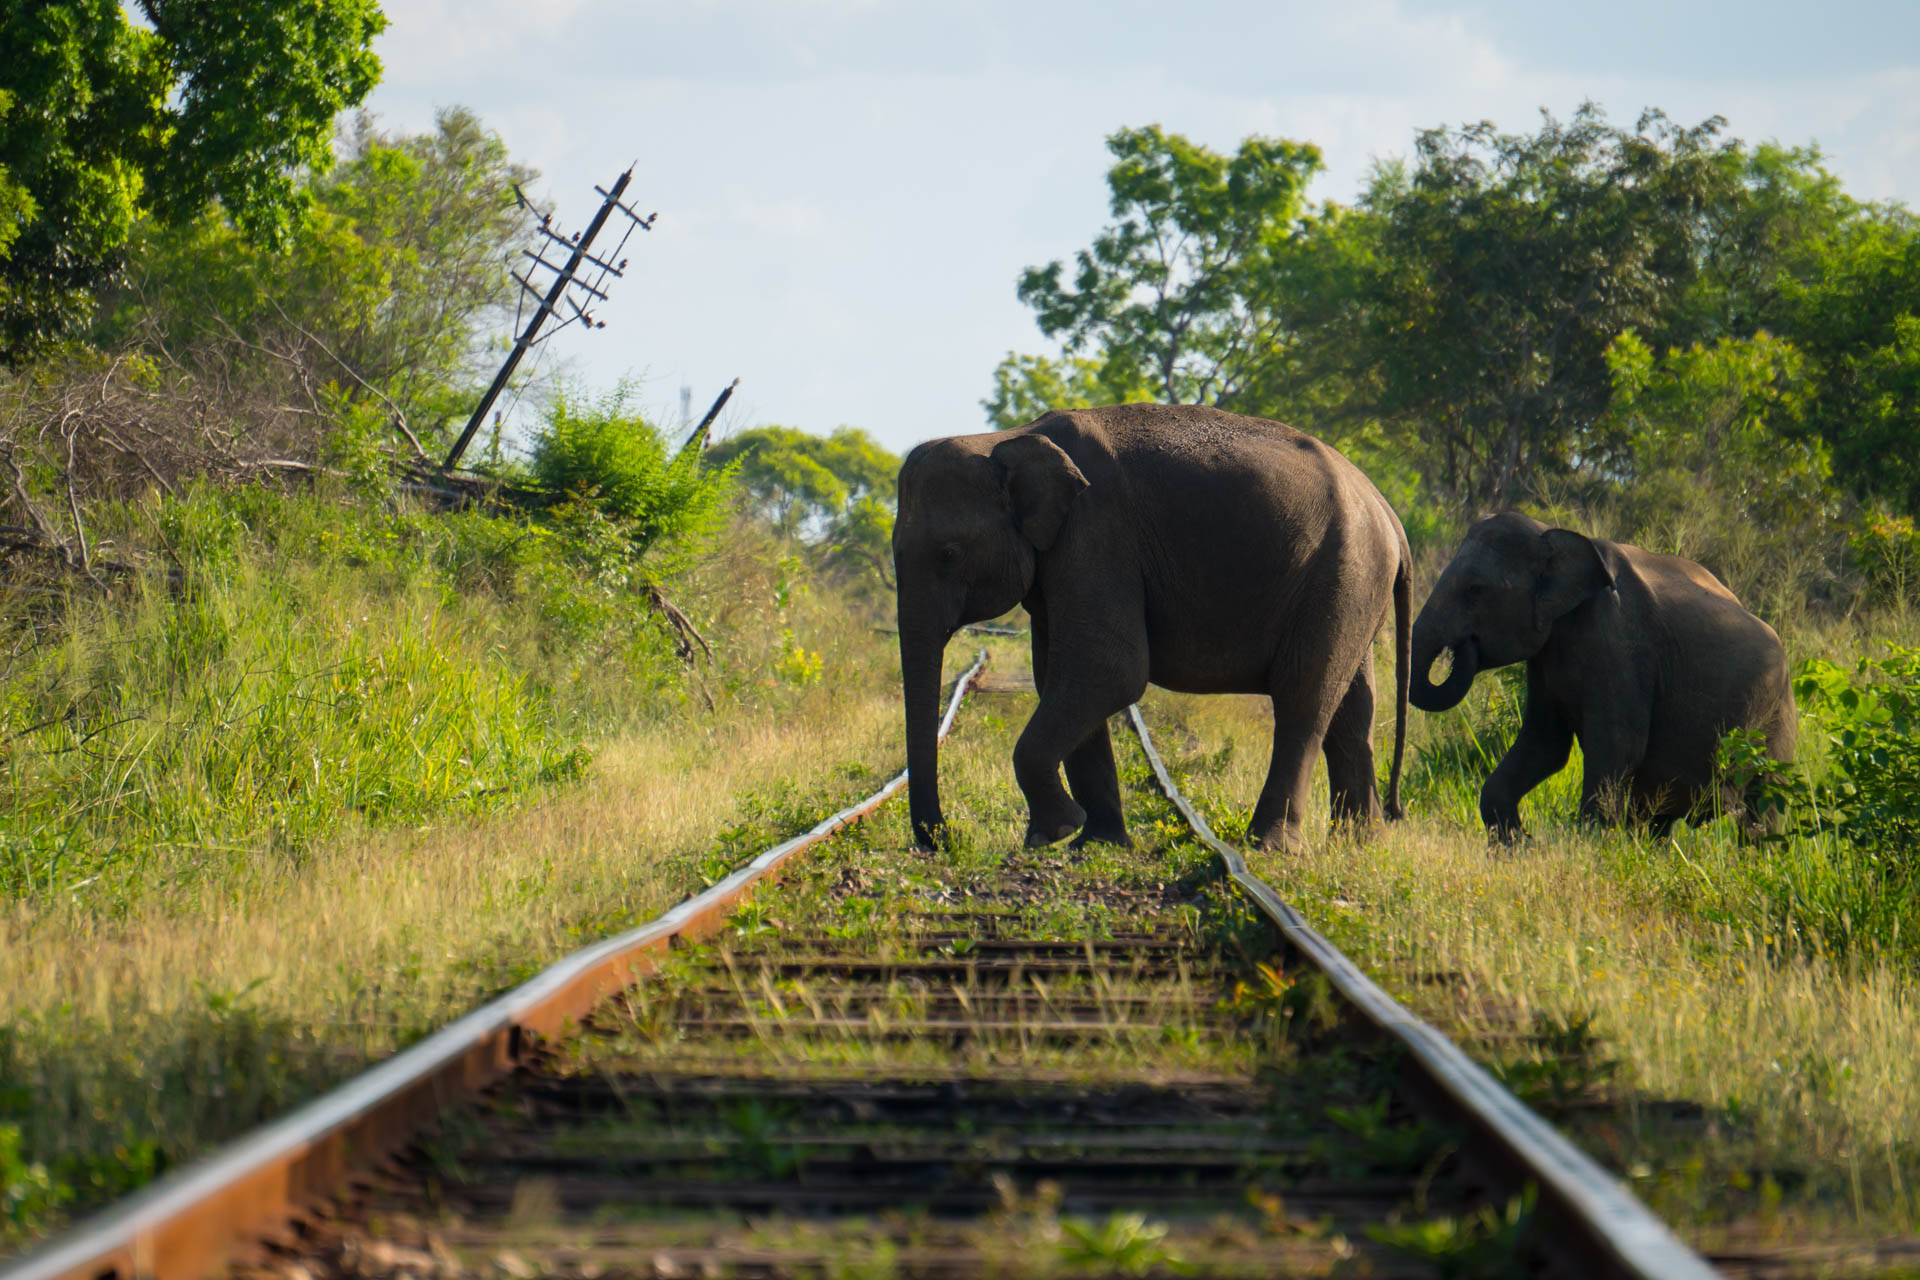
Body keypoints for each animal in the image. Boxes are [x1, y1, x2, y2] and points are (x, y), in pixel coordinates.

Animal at [894, 404, 1413, 855]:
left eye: (949, 554)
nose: (945, 838)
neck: (1005, 438)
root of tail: (1387, 509)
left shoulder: (1096, 531)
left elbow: (1108, 669)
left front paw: (1054, 833)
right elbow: (1060, 676)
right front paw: (1093, 841)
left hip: (1342, 571)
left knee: (1305, 697)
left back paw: (1269, 846)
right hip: (1352, 584)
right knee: (1352, 708)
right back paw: (1361, 844)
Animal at [1405, 514, 1789, 840]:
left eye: (1475, 589)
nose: (1460, 648)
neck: (1549, 533)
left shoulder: (1621, 645)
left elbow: (1617, 745)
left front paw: (1584, 846)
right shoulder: (1546, 657)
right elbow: (1544, 744)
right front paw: (1517, 847)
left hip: (1775, 721)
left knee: (1763, 808)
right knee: (1660, 820)